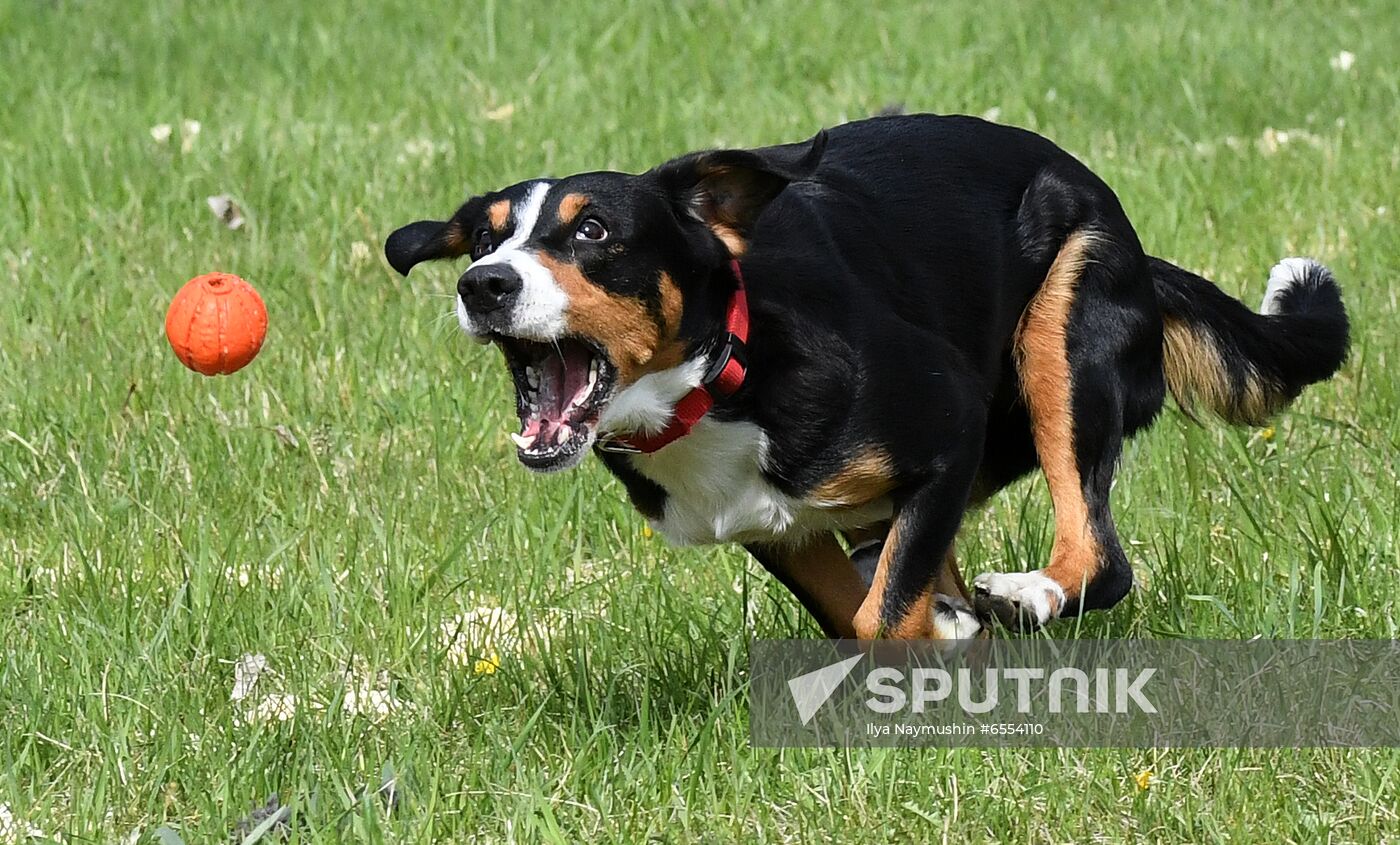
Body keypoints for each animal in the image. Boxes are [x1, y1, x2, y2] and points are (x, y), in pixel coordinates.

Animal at [383, 114, 1344, 640]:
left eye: (593, 233)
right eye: (485, 238)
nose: (484, 284)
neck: (722, 382)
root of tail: (1139, 252)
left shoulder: (946, 433)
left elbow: (885, 615)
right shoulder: (779, 529)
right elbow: (865, 609)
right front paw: (949, 638)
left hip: (1064, 335)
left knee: (1101, 558)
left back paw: (1029, 592)